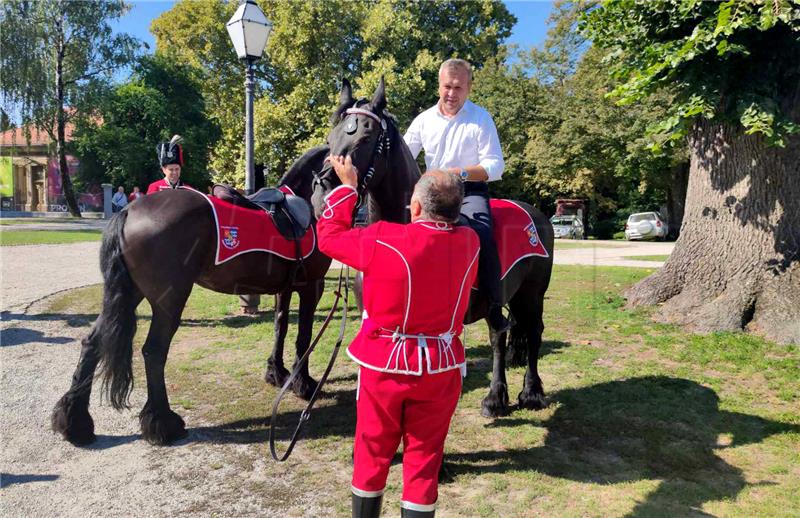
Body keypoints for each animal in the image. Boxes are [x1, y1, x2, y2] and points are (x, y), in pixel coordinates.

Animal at [51, 80, 418, 446]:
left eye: (366, 137)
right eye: (333, 137)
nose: (326, 188)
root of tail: (129, 210)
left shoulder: (286, 286)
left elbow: (281, 327)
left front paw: (277, 374)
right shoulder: (310, 285)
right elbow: (303, 335)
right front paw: (304, 384)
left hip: (128, 293)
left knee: (93, 342)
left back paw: (75, 423)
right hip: (168, 299)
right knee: (153, 351)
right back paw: (163, 424)